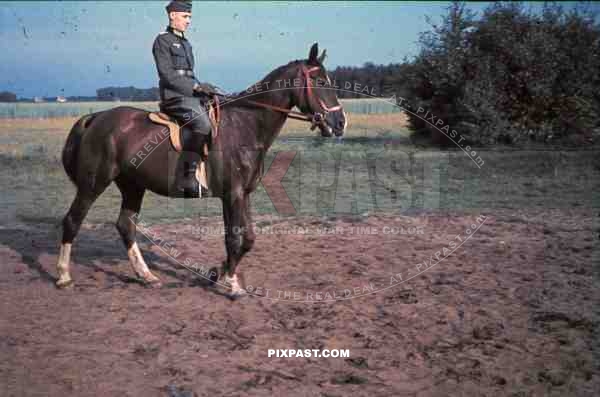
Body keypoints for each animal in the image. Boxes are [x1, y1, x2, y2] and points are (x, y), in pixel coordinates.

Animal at [57, 42, 346, 296]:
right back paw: (63, 276)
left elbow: (247, 239)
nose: (340, 122)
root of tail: (96, 117)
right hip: (93, 183)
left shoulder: (242, 194)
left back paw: (146, 275)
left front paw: (217, 273)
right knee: (73, 220)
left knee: (125, 225)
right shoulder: (232, 194)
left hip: (132, 186)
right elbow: (233, 238)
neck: (245, 124)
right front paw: (232, 285)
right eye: (321, 82)